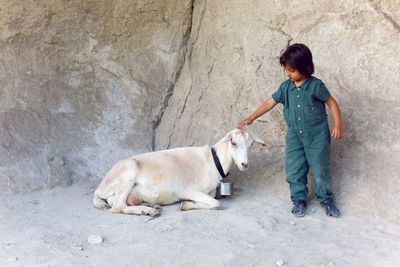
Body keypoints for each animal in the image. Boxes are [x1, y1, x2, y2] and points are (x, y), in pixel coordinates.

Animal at [92, 129, 264, 217]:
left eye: (251, 145)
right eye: (233, 143)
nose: (244, 164)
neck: (211, 161)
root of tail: (99, 189)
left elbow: (213, 201)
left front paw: (188, 204)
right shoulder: (189, 190)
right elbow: (216, 203)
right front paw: (186, 204)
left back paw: (150, 205)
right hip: (127, 174)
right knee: (117, 207)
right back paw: (148, 211)